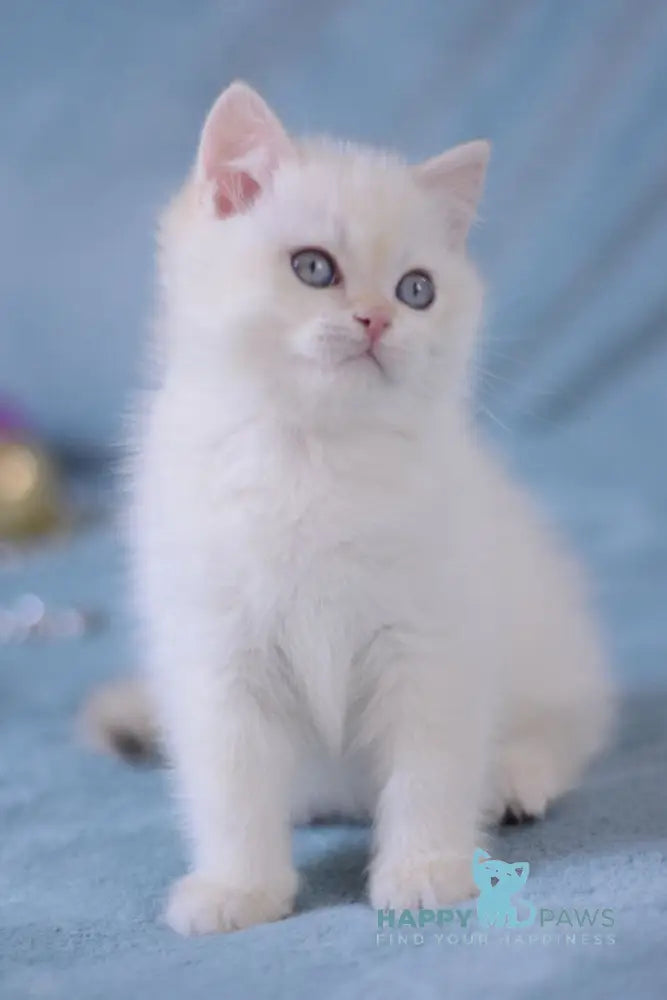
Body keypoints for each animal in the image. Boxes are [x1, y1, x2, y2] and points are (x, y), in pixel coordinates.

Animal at [86, 82, 612, 932]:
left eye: (416, 289)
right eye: (313, 268)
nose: (376, 319)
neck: (315, 455)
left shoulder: (431, 640)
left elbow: (429, 769)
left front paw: (426, 870)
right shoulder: (215, 648)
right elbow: (231, 783)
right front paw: (237, 889)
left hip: (549, 645)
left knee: (563, 730)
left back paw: (512, 779)